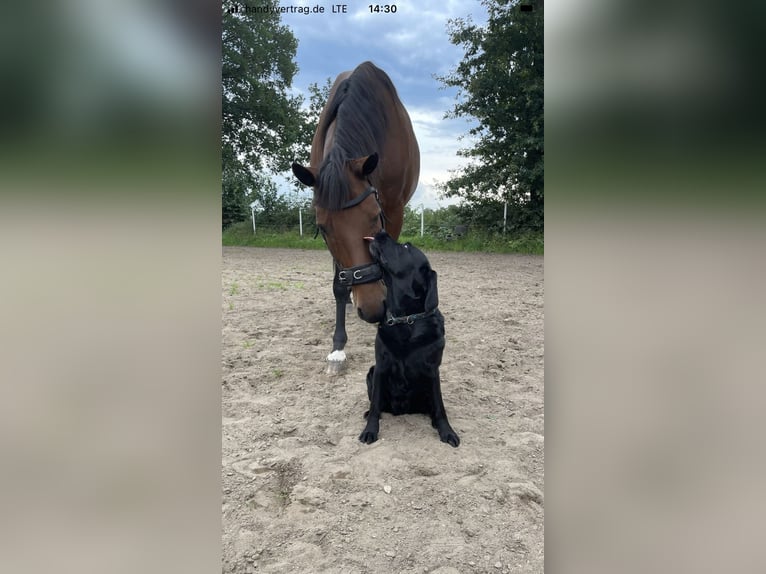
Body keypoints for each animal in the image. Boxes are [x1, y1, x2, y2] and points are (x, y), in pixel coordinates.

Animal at [292, 63, 420, 374]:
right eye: (323, 229)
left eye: (375, 217)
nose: (373, 308)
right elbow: (339, 284)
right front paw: (338, 347)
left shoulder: (393, 210)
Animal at [358, 232, 460, 448]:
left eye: (405, 247)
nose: (381, 232)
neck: (405, 319)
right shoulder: (380, 367)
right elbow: (375, 405)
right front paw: (370, 430)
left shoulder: (432, 370)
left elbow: (440, 407)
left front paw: (447, 431)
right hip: (371, 372)